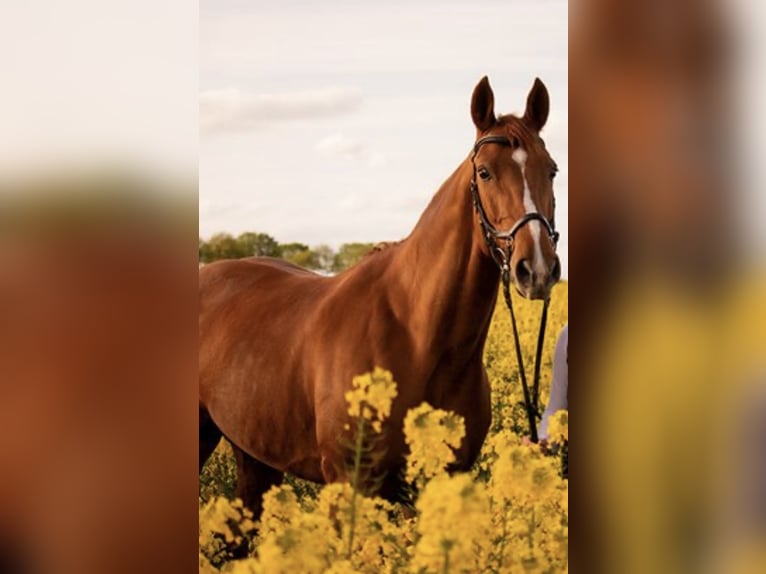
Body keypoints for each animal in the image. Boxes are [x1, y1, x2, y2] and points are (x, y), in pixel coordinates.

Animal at [199, 76, 561, 517]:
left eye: (552, 170)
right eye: (485, 172)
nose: (537, 269)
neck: (418, 336)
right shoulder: (349, 481)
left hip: (255, 455)